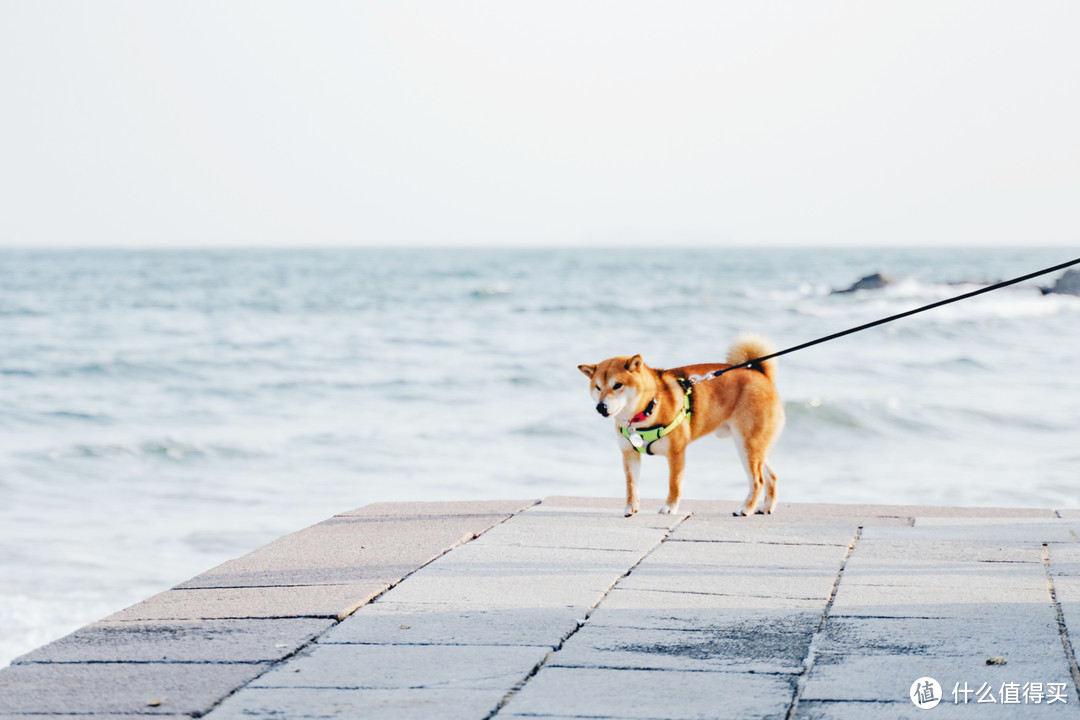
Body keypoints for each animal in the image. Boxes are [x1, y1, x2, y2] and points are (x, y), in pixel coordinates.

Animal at [583, 338, 786, 518]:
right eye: (597, 387)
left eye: (618, 385)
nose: (601, 407)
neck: (648, 408)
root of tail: (763, 375)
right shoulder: (629, 454)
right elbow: (631, 486)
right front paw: (630, 508)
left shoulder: (676, 453)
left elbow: (674, 484)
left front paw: (669, 508)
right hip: (756, 447)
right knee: (772, 477)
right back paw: (766, 507)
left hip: (747, 445)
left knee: (758, 481)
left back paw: (745, 509)